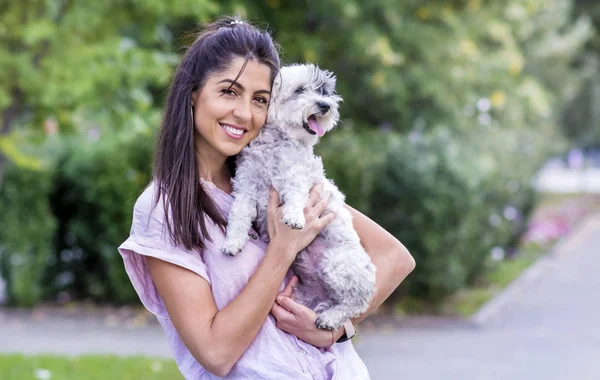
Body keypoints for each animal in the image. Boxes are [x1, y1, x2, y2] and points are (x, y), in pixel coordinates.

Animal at [223, 63, 378, 330]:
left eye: (324, 91)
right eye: (299, 90)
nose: (325, 105)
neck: (275, 145)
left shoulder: (296, 176)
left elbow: (295, 196)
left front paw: (294, 217)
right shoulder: (246, 185)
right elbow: (239, 213)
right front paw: (232, 241)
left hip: (336, 262)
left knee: (356, 302)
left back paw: (329, 318)